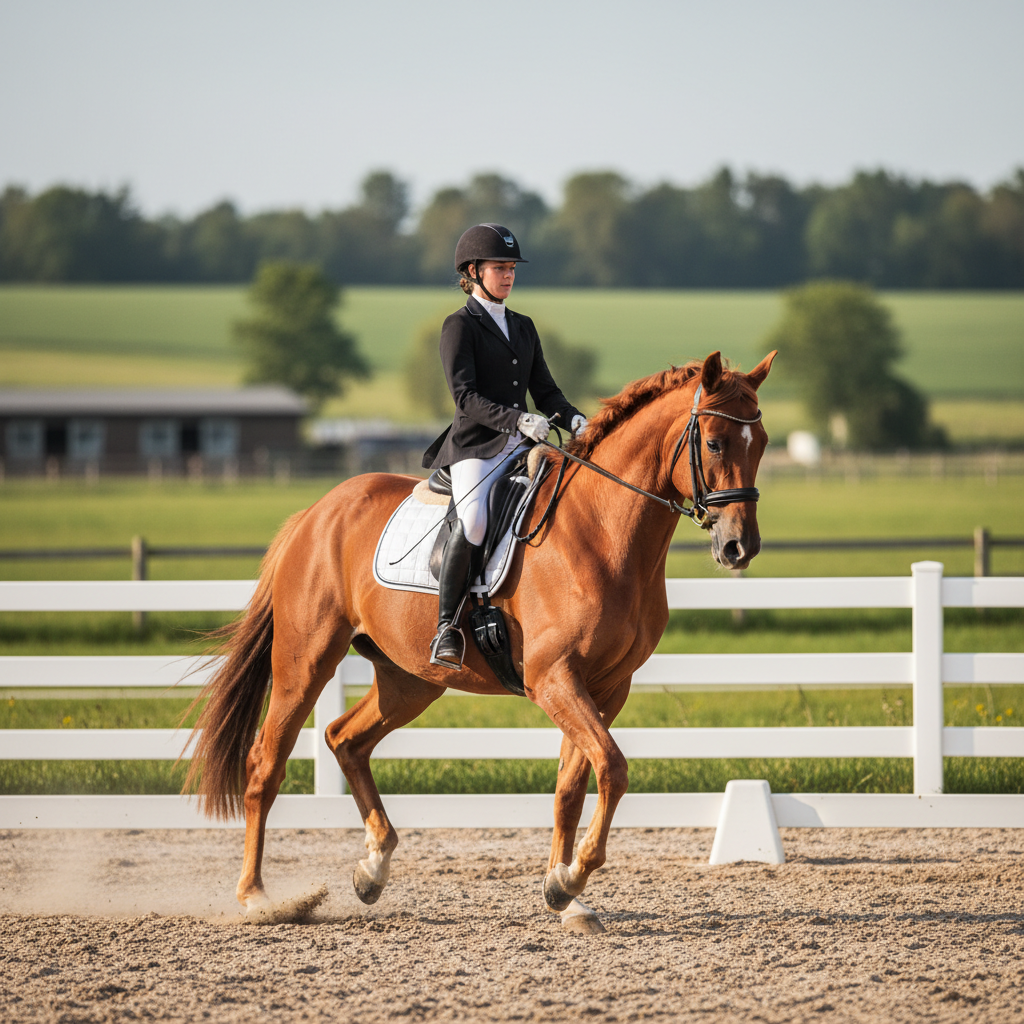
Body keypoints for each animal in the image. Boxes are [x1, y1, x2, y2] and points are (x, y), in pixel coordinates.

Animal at [183, 348, 776, 930]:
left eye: (764, 442)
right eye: (715, 441)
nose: (739, 548)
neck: (603, 533)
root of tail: (315, 513)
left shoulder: (606, 687)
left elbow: (571, 786)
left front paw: (564, 894)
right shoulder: (555, 679)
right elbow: (612, 767)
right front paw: (572, 877)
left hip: (411, 680)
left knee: (344, 738)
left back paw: (373, 869)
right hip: (305, 661)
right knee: (266, 762)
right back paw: (258, 898)